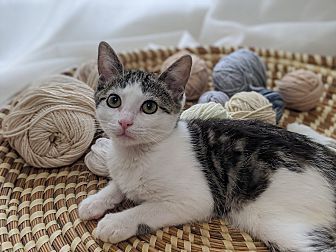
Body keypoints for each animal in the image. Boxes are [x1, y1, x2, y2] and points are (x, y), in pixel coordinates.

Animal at [79, 41, 336, 252]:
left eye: (149, 107)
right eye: (114, 101)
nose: (124, 122)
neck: (135, 155)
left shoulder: (197, 200)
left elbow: (147, 209)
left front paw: (116, 222)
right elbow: (118, 185)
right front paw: (95, 201)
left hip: (276, 223)